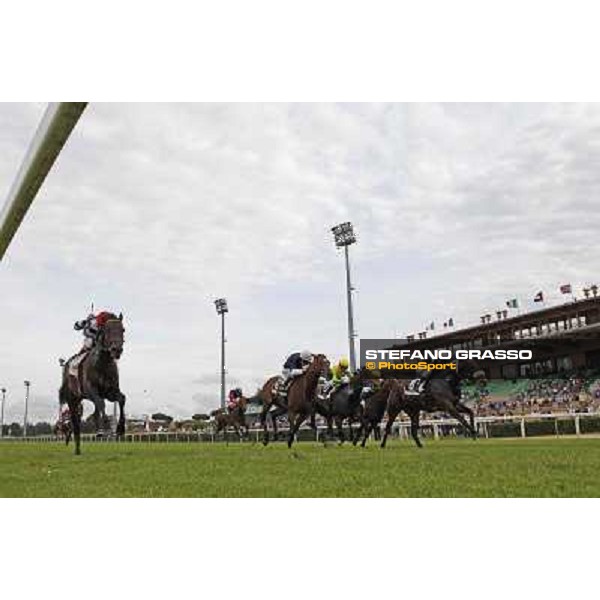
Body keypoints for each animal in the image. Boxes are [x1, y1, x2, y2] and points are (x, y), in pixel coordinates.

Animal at [58, 314, 126, 454]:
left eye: (123, 330)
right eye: (107, 330)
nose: (116, 350)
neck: (103, 363)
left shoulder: (110, 392)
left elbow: (121, 399)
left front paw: (120, 429)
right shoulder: (91, 390)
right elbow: (101, 404)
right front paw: (107, 426)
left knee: (93, 412)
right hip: (73, 399)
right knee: (75, 421)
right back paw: (77, 448)